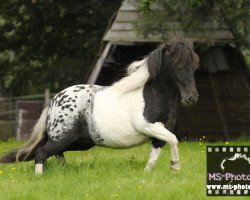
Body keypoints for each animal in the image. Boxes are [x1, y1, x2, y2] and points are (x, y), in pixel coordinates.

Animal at [0, 41, 199, 174]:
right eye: (179, 67)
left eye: (193, 67)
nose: (192, 98)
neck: (152, 96)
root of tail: (54, 101)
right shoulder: (148, 126)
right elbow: (173, 139)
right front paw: (175, 165)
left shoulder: (158, 135)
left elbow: (157, 153)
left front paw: (152, 172)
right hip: (63, 138)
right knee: (41, 153)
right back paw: (42, 176)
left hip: (78, 142)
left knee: (54, 154)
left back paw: (65, 171)